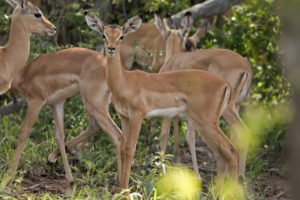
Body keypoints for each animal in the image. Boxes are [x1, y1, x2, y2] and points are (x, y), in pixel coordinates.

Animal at [84, 11, 237, 191]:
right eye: (104, 35)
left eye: (121, 36)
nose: (111, 48)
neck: (124, 81)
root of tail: (225, 84)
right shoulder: (124, 117)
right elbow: (121, 148)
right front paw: (121, 190)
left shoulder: (137, 116)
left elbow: (129, 149)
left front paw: (126, 191)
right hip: (205, 123)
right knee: (221, 153)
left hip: (206, 122)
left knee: (231, 150)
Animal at [156, 12, 252, 180]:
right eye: (189, 44)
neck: (173, 58)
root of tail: (246, 68)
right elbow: (189, 137)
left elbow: (165, 134)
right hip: (235, 107)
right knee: (235, 136)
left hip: (225, 111)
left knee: (239, 135)